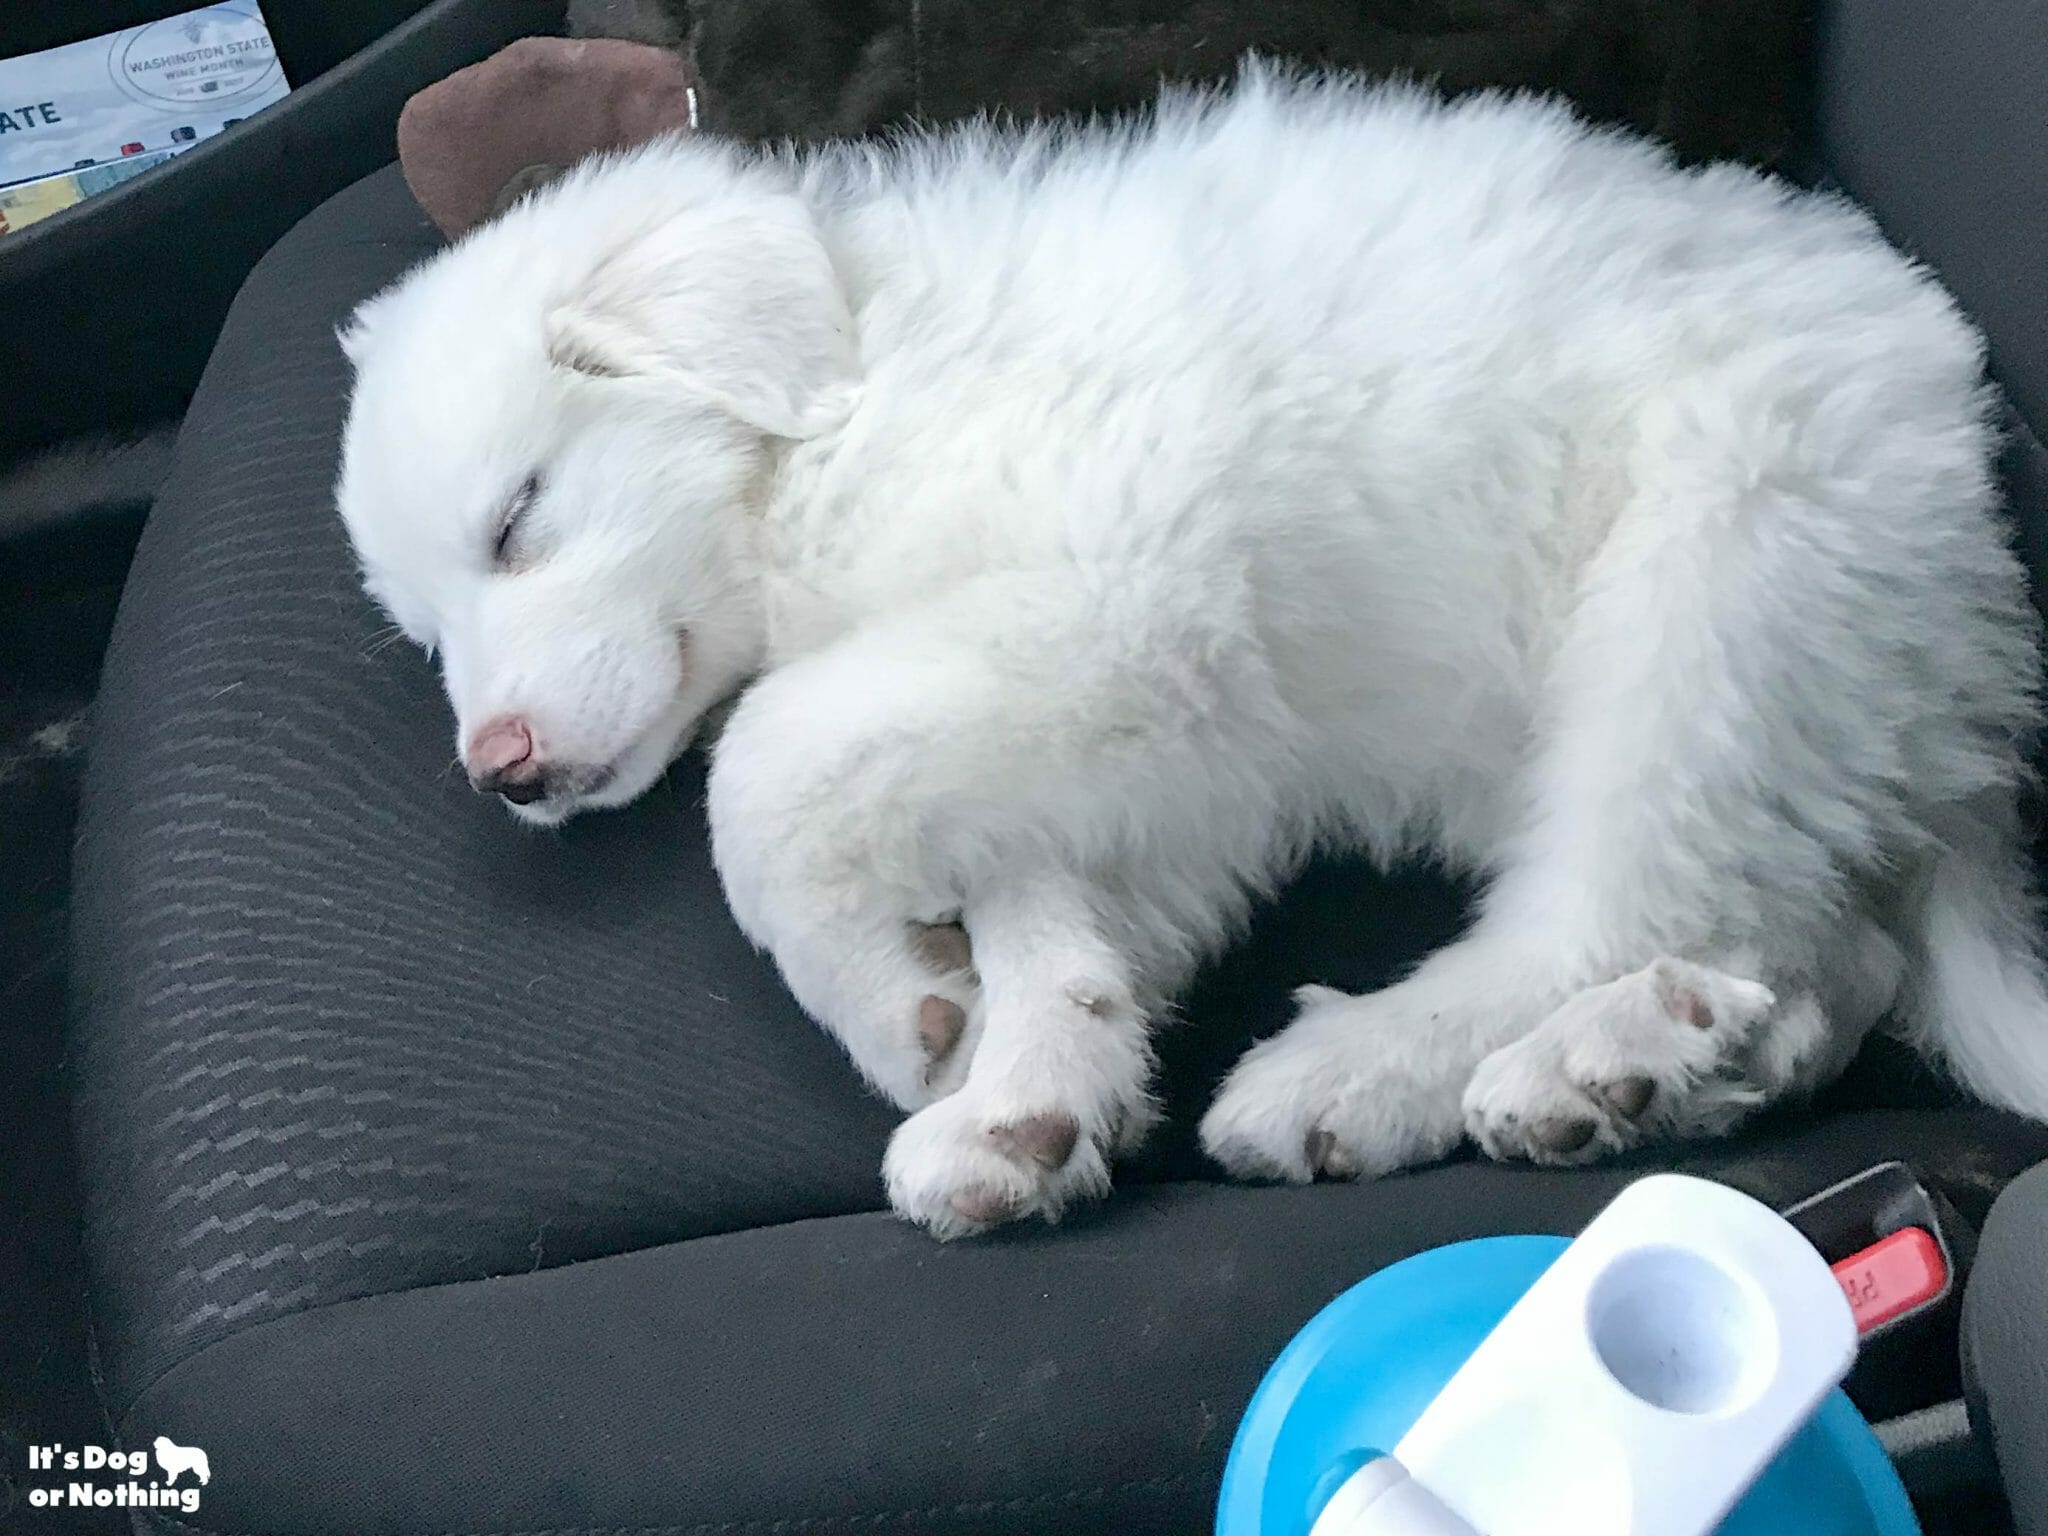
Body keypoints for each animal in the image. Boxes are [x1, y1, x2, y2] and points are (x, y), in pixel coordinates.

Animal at [335, 63, 2048, 1236]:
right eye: (427, 636)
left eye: (517, 520)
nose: (502, 773)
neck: (854, 394)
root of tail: (1971, 605)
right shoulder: (1154, 731)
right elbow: (1038, 890)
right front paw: (1032, 1086)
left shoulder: (1127, 601)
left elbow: (761, 771)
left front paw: (902, 1018)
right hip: (1773, 703)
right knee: (1820, 950)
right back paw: (1656, 1060)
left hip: (1711, 592)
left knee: (1613, 901)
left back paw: (1387, 1071)